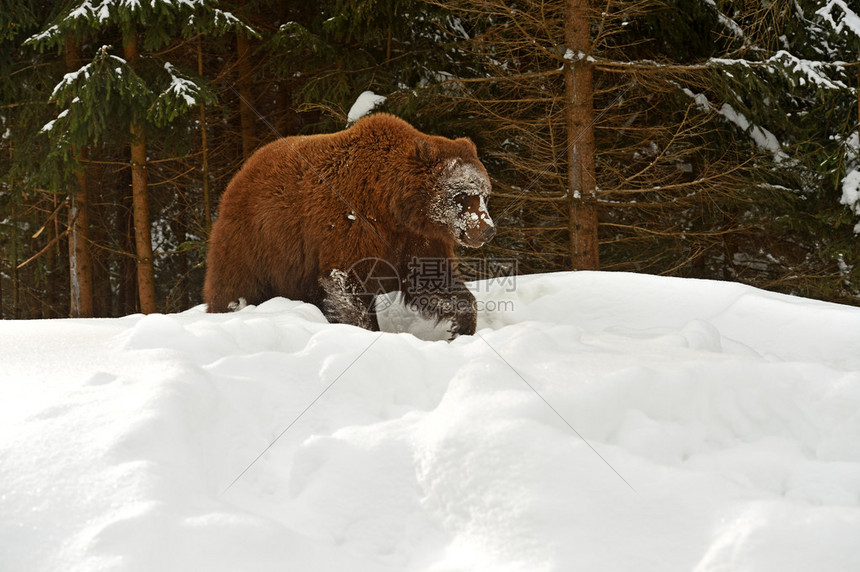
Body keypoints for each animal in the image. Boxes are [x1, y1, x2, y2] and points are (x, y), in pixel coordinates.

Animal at [203, 113, 495, 338]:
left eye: (485, 194)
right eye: (461, 195)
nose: (487, 229)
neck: (395, 209)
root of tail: (240, 174)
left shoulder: (418, 240)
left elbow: (433, 281)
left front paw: (461, 328)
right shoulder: (352, 225)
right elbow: (347, 285)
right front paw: (366, 330)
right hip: (257, 242)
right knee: (234, 286)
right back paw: (227, 310)